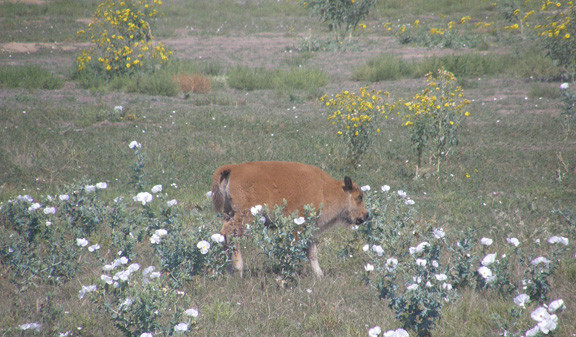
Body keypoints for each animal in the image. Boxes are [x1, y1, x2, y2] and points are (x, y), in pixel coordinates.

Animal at [212, 161, 368, 276]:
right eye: (359, 197)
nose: (365, 215)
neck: (325, 190)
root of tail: (233, 168)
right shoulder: (298, 226)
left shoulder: (309, 229)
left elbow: (312, 252)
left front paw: (319, 275)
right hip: (246, 216)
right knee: (230, 234)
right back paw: (238, 268)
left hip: (229, 214)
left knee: (223, 235)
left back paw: (228, 270)